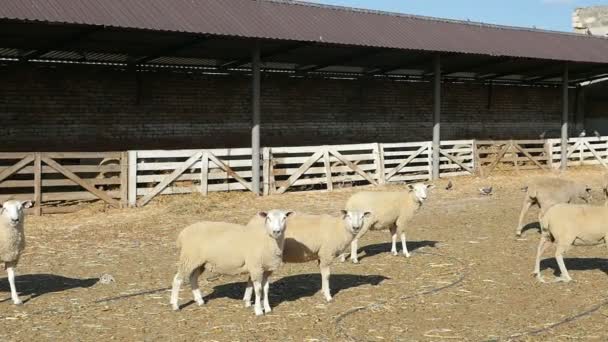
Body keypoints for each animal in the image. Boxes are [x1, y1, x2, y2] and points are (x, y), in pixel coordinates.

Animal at [242, 210, 370, 304]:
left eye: (362, 217)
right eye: (348, 216)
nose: (356, 227)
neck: (339, 227)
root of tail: (251, 222)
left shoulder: (321, 256)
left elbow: (322, 274)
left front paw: (323, 291)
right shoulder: (326, 254)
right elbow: (327, 275)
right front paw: (328, 296)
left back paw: (247, 299)